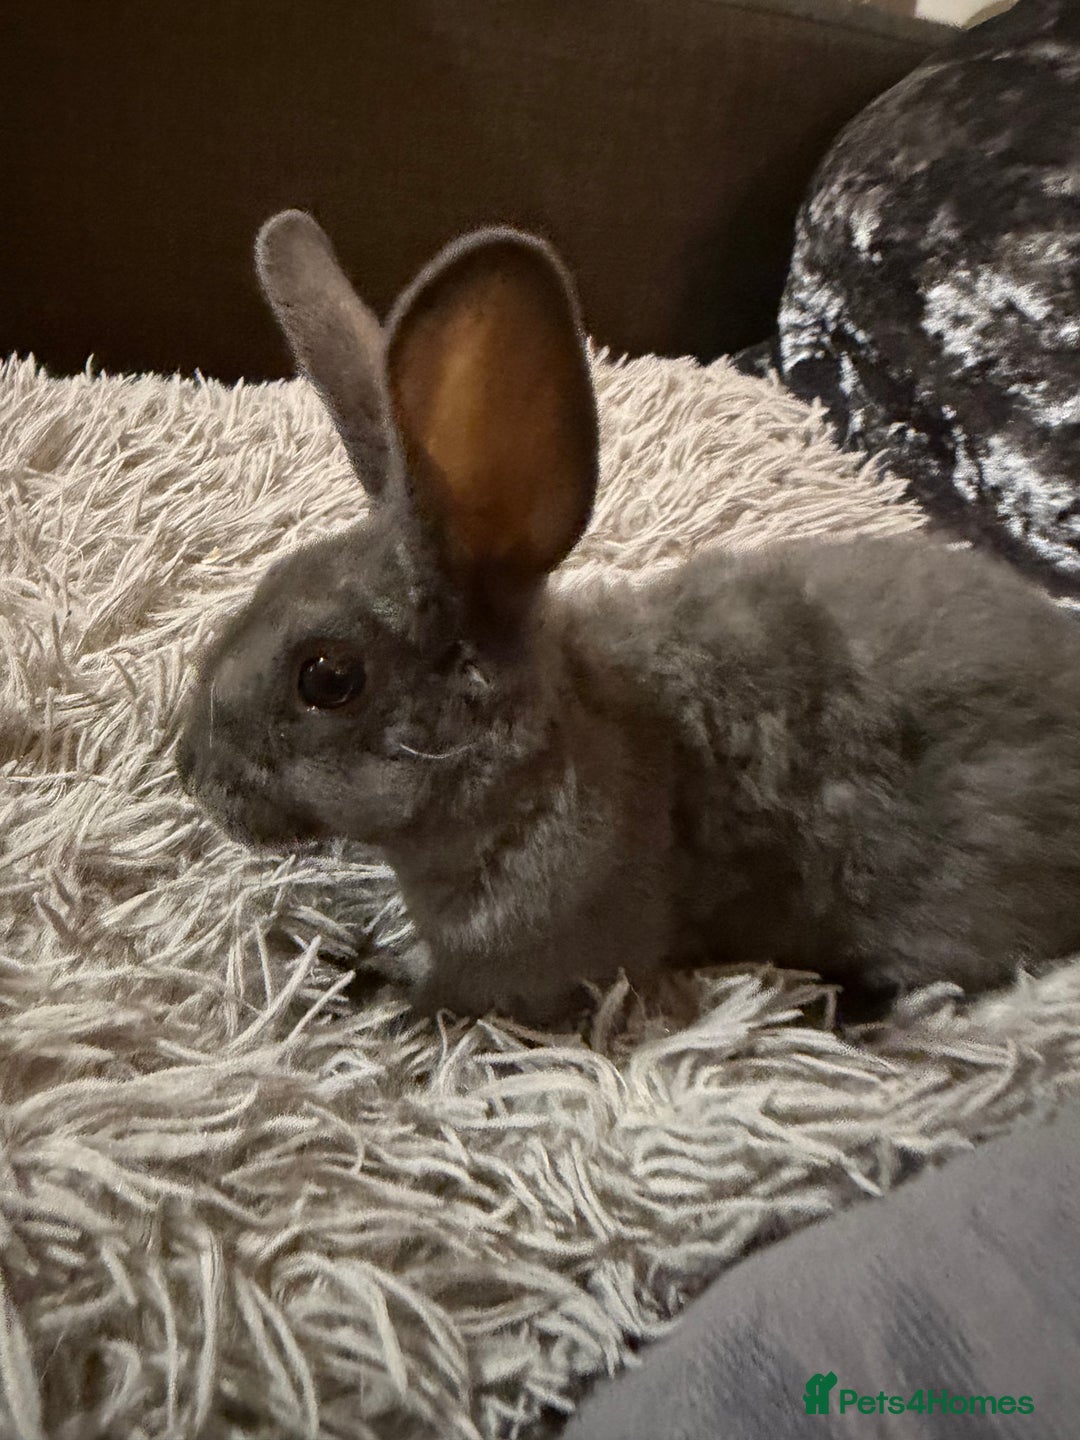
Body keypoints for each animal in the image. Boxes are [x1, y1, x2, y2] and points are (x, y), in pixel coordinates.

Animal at [176, 209, 1080, 1026]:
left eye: (328, 677)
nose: (192, 774)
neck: (536, 756)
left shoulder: (518, 960)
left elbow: (437, 998)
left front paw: (345, 981)